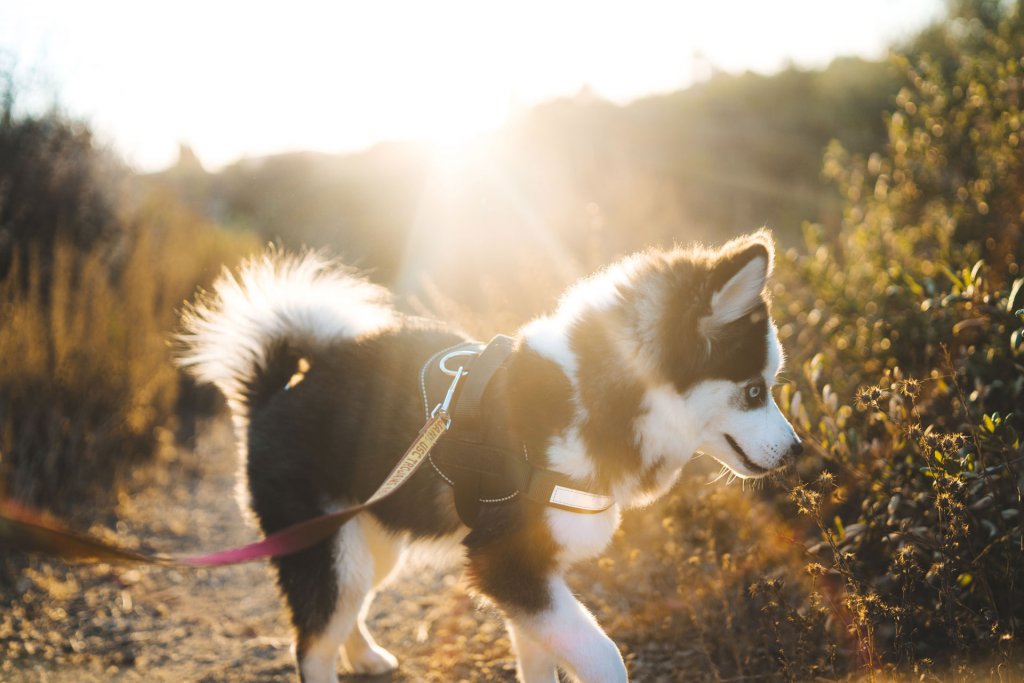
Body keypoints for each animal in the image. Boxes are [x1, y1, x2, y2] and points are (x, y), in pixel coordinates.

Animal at [174, 231, 798, 683]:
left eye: (769, 384)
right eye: (753, 391)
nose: (797, 450)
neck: (587, 400)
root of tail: (274, 392)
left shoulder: (530, 576)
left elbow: (542, 661)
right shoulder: (507, 561)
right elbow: (604, 657)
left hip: (369, 541)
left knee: (343, 614)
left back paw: (367, 655)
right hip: (329, 548)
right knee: (311, 645)